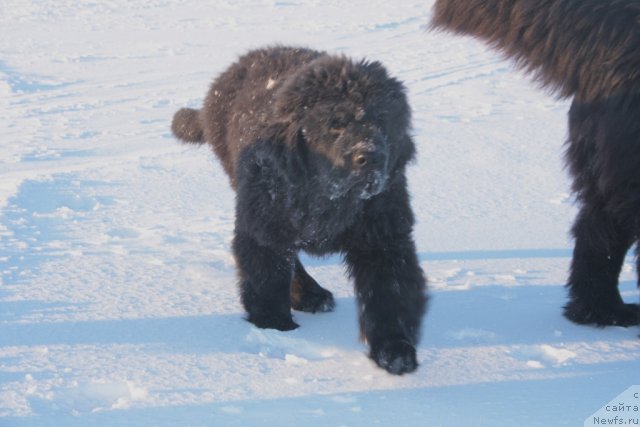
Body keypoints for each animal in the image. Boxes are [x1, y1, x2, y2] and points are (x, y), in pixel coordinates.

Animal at [172, 46, 428, 374]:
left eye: (383, 121)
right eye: (336, 123)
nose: (369, 156)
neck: (328, 198)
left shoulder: (383, 238)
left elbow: (389, 293)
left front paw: (395, 350)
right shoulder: (263, 228)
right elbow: (267, 280)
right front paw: (274, 327)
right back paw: (309, 294)